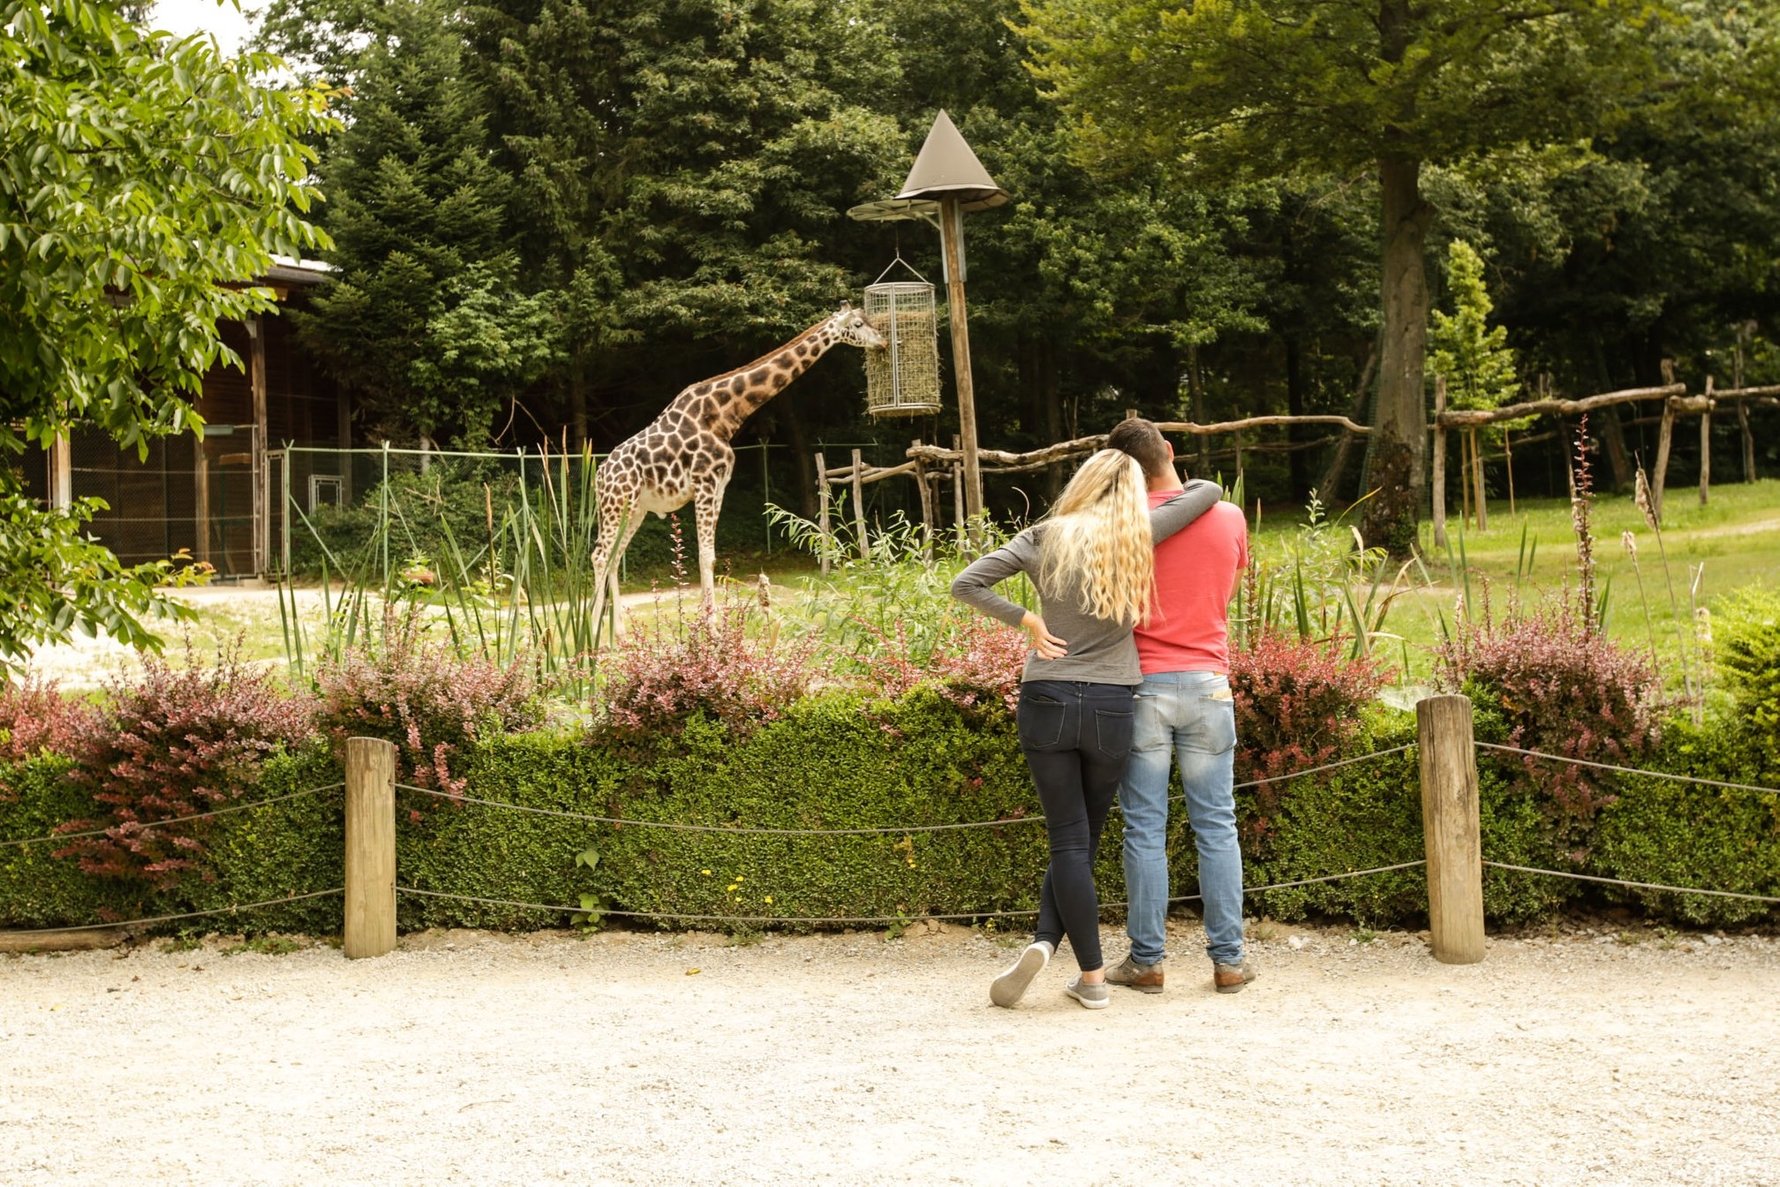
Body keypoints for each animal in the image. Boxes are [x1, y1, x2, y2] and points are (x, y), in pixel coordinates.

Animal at [590, 302, 882, 629]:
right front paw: (713, 629)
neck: (723, 414)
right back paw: (591, 632)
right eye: (857, 324)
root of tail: (599, 475)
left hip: (634, 509)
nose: (882, 343)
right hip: (618, 504)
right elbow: (705, 556)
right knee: (600, 555)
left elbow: (711, 557)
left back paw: (618, 633)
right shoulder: (704, 483)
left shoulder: (719, 487)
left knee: (614, 556)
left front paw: (712, 624)